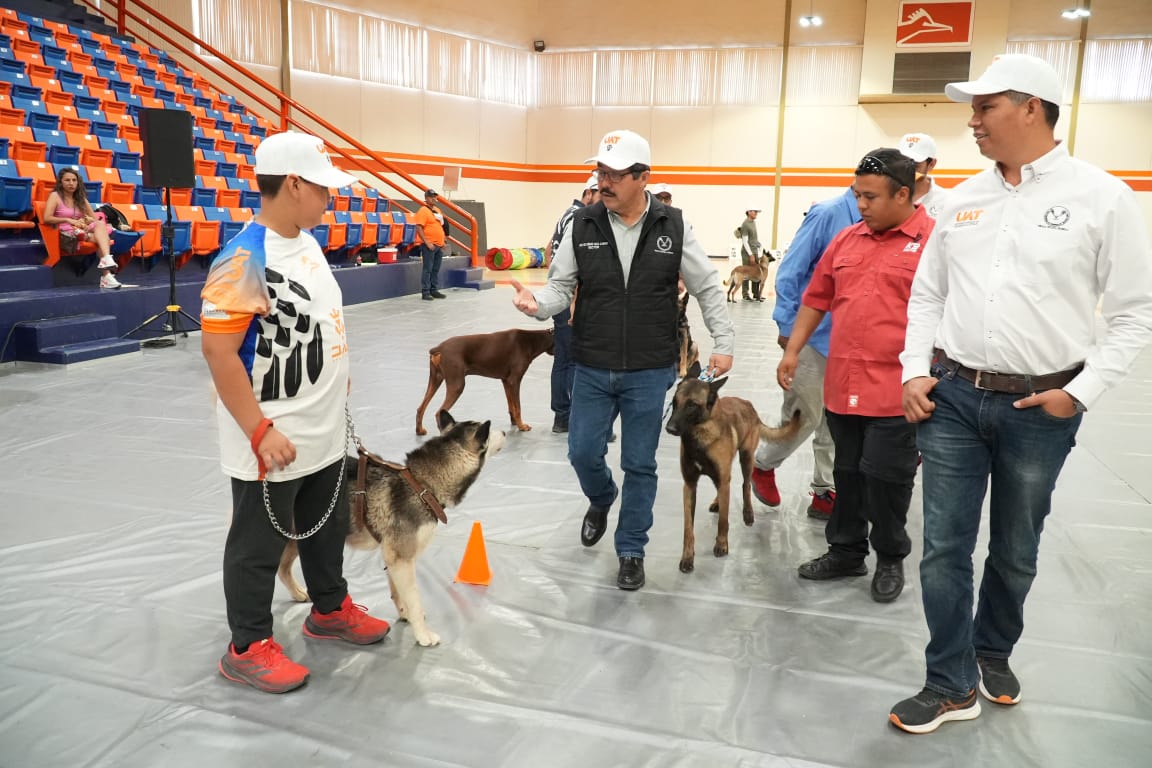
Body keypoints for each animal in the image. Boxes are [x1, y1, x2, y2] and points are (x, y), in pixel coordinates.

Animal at [278, 412, 504, 644]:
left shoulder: (394, 559)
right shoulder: (401, 558)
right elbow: (415, 599)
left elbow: (399, 593)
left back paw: (297, 592)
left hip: (299, 536)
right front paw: (422, 634)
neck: (423, 485)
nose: (505, 432)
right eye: (488, 431)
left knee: (282, 569)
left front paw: (405, 614)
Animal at [668, 363, 801, 573]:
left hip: (746, 459)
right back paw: (718, 502)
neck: (699, 436)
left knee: (745, 485)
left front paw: (722, 545)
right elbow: (688, 528)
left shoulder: (722, 479)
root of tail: (749, 405)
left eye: (691, 405)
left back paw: (748, 513)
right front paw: (687, 557)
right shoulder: (689, 486)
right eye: (675, 402)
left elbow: (723, 520)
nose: (669, 428)